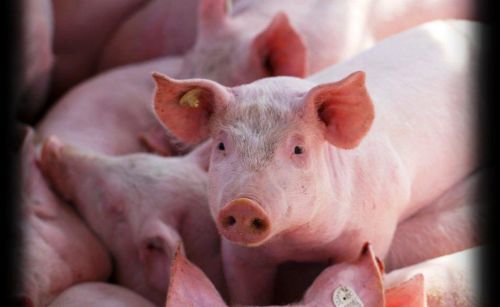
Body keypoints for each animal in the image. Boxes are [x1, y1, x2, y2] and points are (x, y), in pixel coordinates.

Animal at [151, 19, 480, 306]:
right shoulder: (237, 253)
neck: (298, 242)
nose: (244, 204)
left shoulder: (371, 233)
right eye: (221, 145)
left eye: (298, 149)